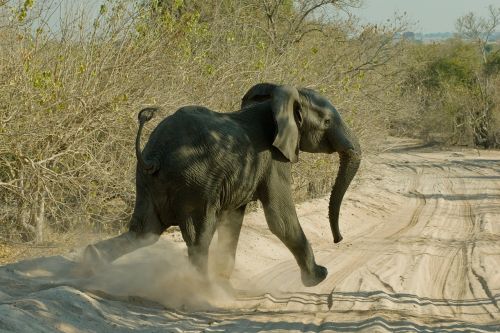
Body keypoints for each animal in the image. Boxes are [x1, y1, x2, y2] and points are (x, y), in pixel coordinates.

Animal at [81, 82, 360, 286]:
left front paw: (226, 280)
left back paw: (90, 262)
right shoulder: (274, 158)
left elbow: (234, 218)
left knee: (144, 231)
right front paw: (319, 277)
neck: (277, 101)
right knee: (199, 236)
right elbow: (280, 219)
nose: (338, 239)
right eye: (326, 122)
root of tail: (155, 154)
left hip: (149, 181)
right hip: (194, 183)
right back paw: (204, 290)